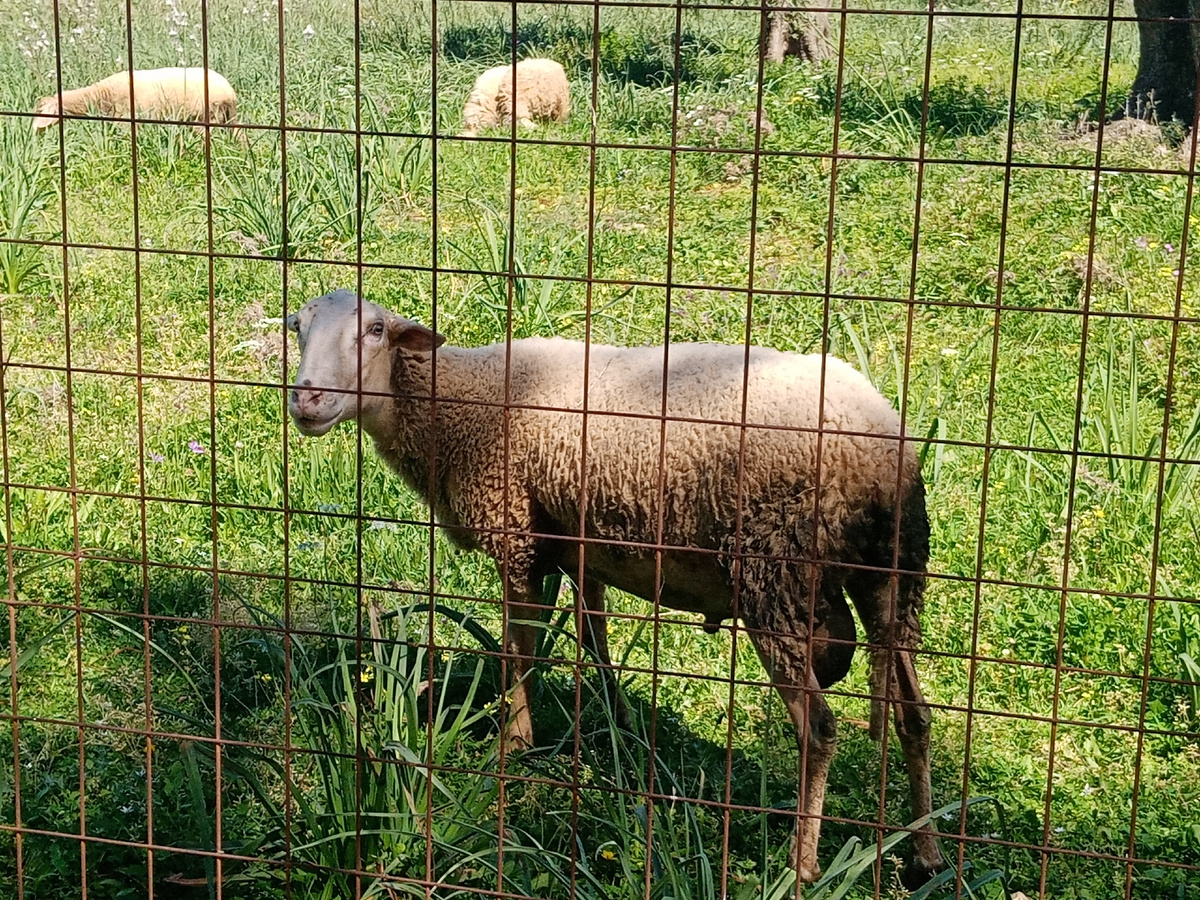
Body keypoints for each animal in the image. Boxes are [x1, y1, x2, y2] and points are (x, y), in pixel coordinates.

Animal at [283, 290, 945, 888]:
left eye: (374, 331)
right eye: (298, 327)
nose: (308, 398)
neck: (455, 407)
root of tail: (878, 448)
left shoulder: (515, 533)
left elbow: (520, 648)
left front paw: (513, 746)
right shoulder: (579, 547)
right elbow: (592, 637)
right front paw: (616, 724)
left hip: (774, 573)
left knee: (820, 730)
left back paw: (802, 865)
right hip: (895, 574)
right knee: (915, 715)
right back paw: (927, 852)